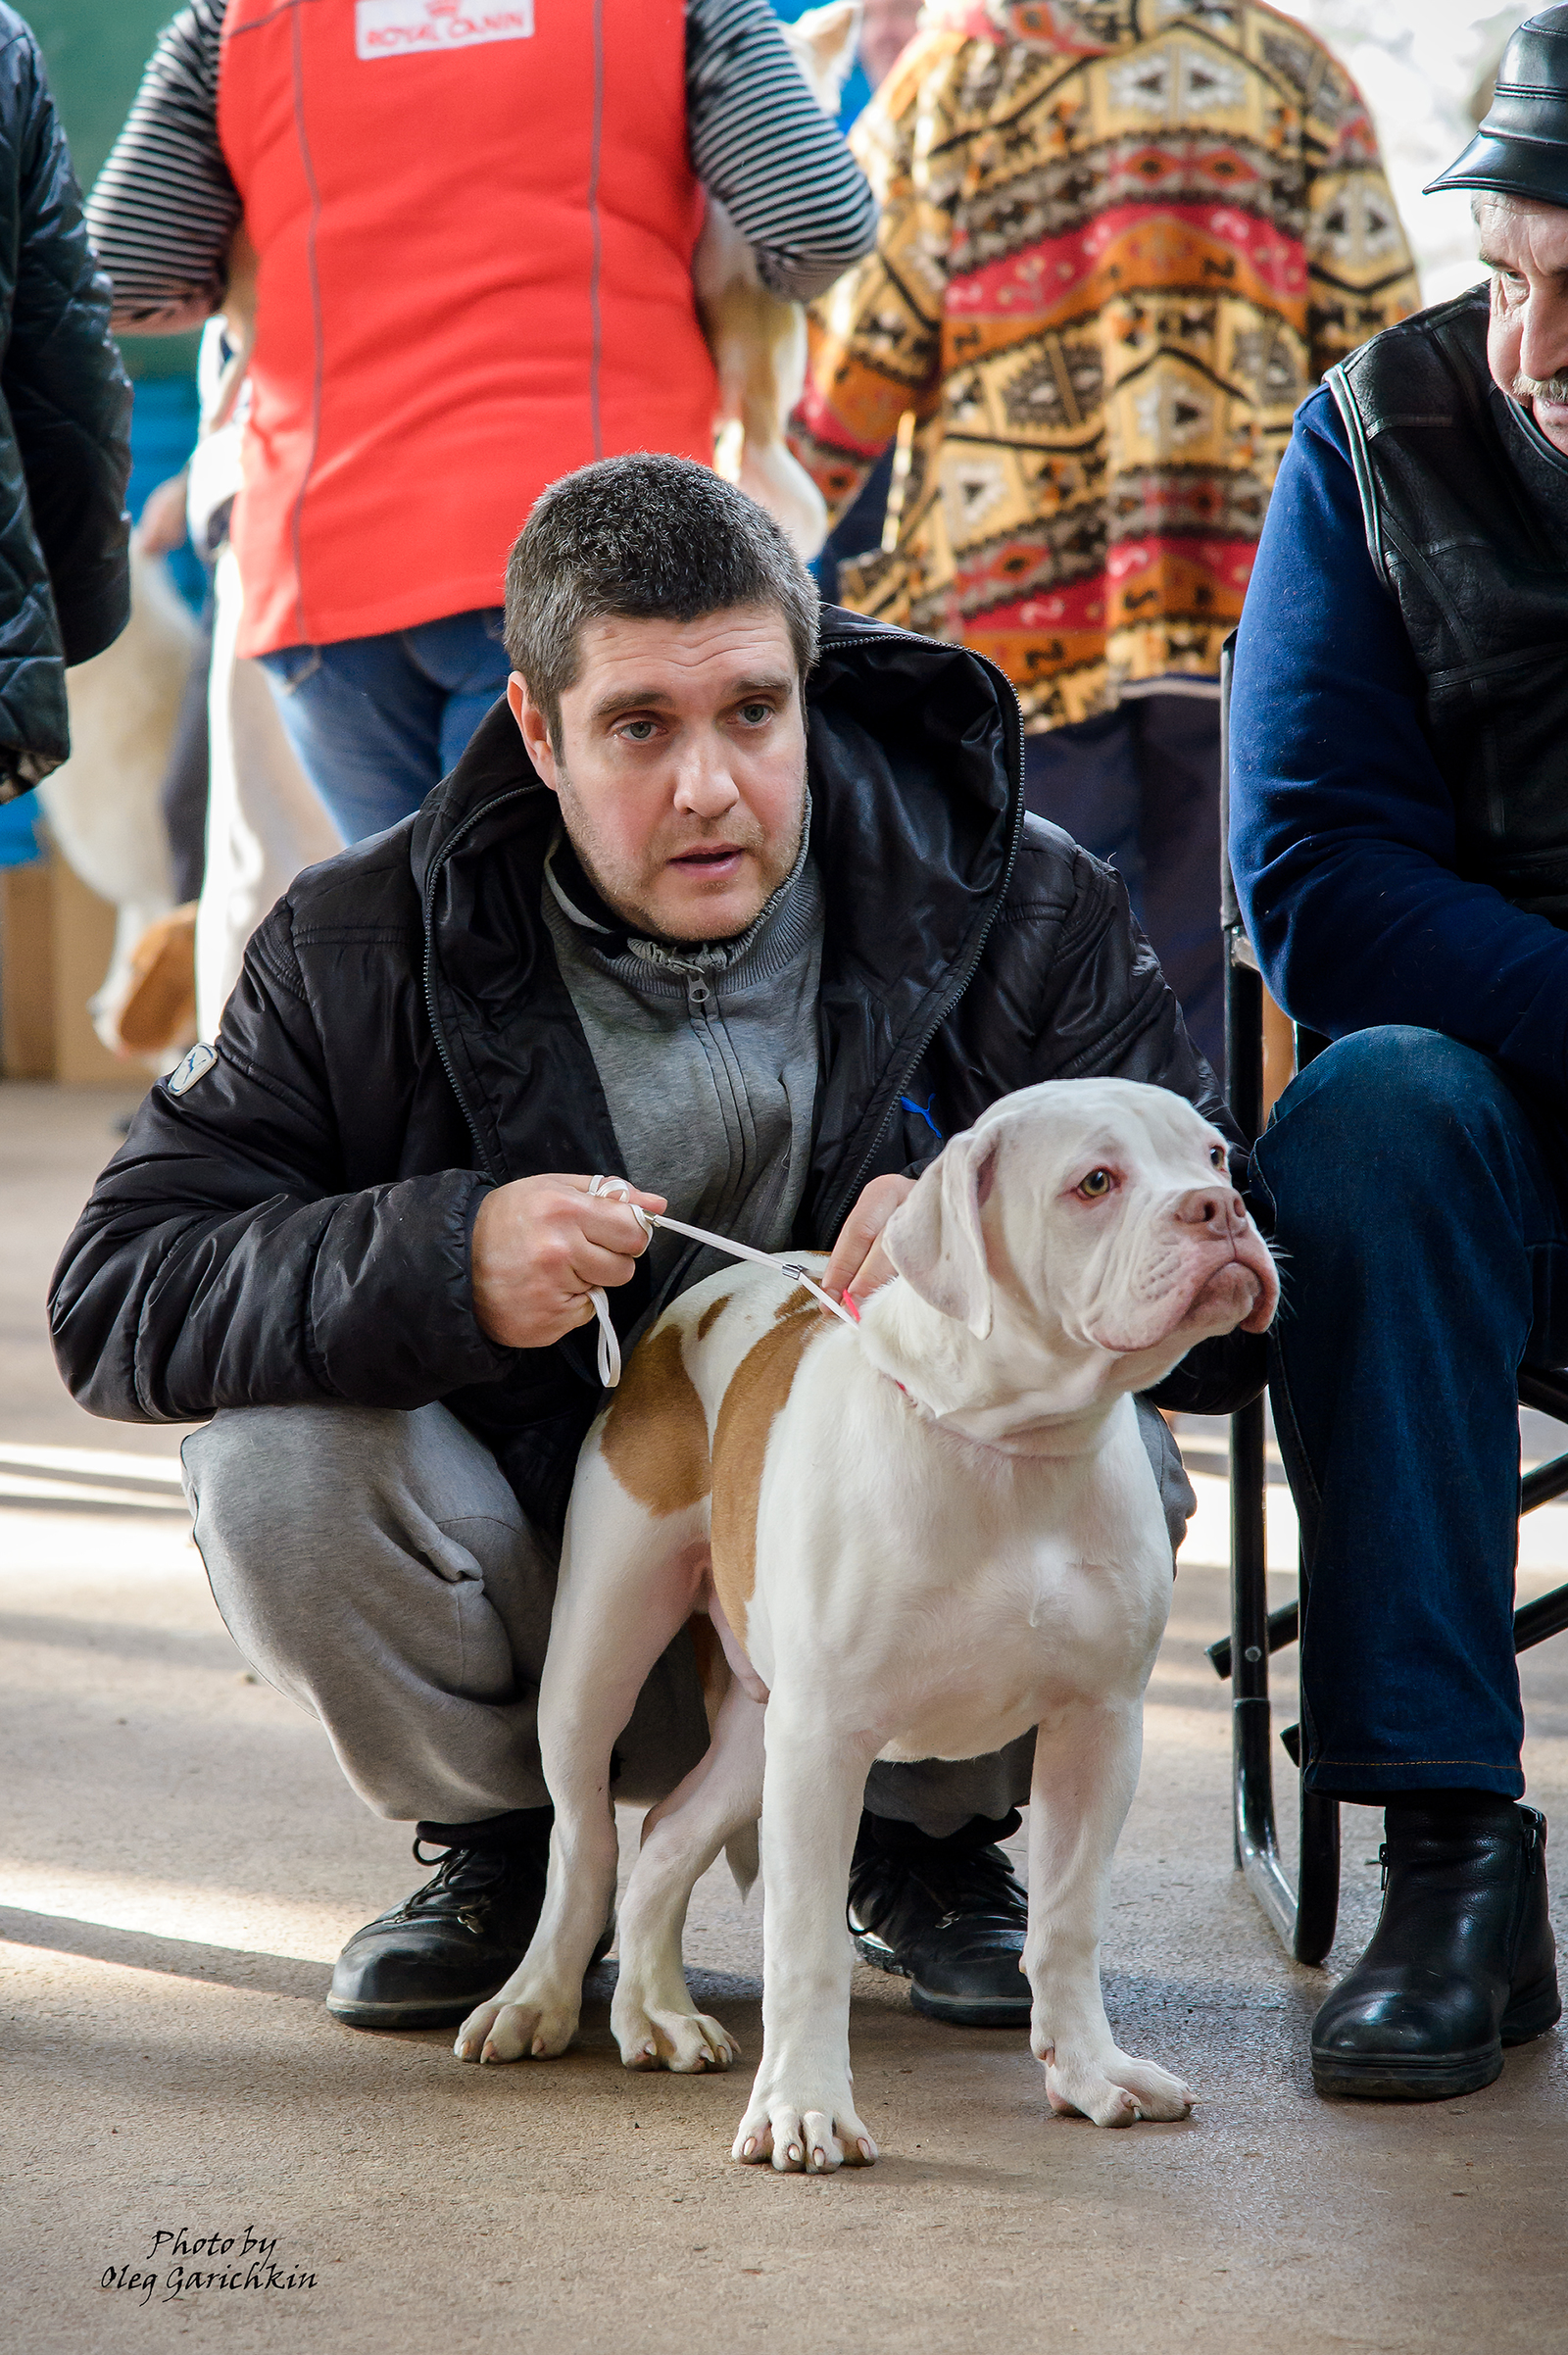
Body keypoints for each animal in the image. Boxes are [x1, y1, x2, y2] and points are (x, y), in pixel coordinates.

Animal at [454, 1078, 1280, 2166]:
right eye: (1094, 1182)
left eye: (1216, 1158)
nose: (1220, 1210)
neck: (1008, 1442)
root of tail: (683, 1312)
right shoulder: (825, 1742)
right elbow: (806, 1945)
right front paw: (802, 2107)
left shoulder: (1098, 1727)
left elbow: (1068, 1922)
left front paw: (1090, 2073)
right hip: (601, 1659)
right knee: (584, 1837)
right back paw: (537, 1999)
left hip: (761, 1722)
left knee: (669, 1830)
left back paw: (656, 2013)